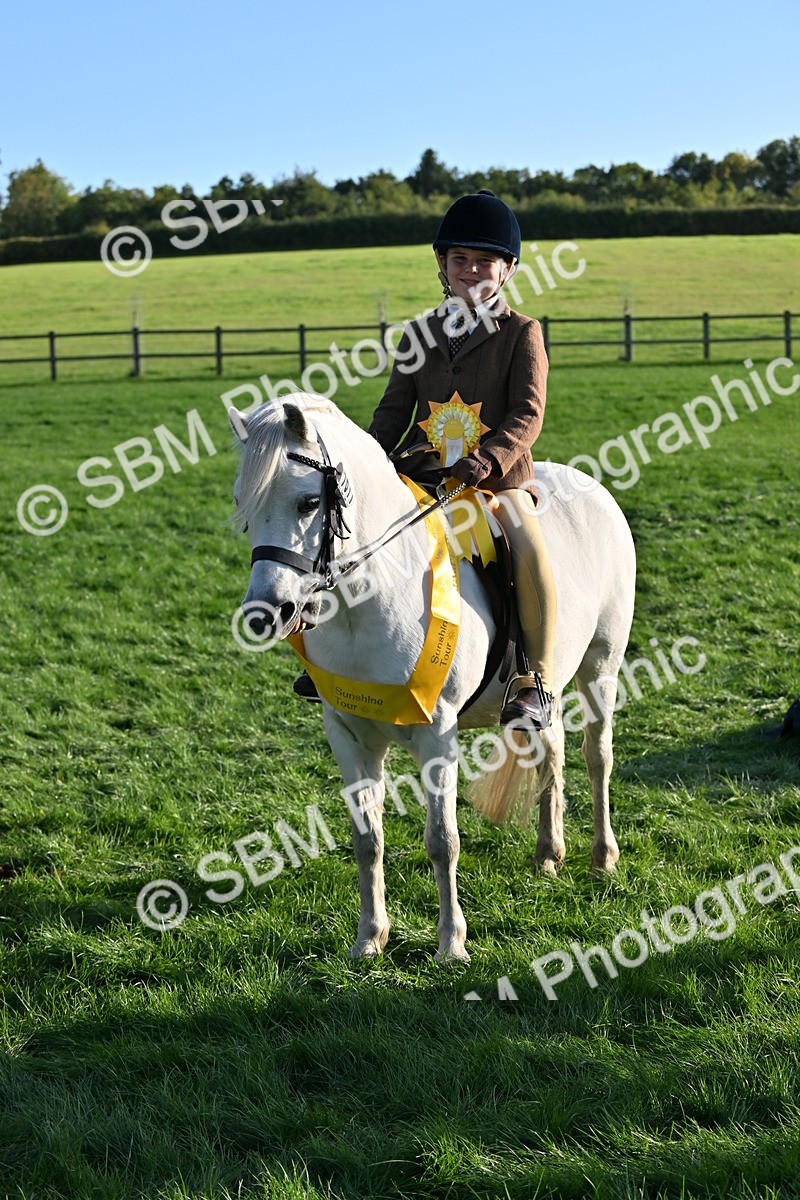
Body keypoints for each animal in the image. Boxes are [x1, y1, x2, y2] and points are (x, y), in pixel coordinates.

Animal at [229, 392, 636, 963]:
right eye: (244, 505)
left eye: (308, 502)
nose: (267, 614)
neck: (372, 601)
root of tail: (590, 486)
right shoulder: (348, 735)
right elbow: (367, 839)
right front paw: (369, 940)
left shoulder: (437, 733)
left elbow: (442, 840)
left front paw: (451, 944)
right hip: (548, 684)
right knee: (552, 749)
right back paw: (548, 854)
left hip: (602, 665)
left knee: (596, 756)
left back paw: (602, 857)